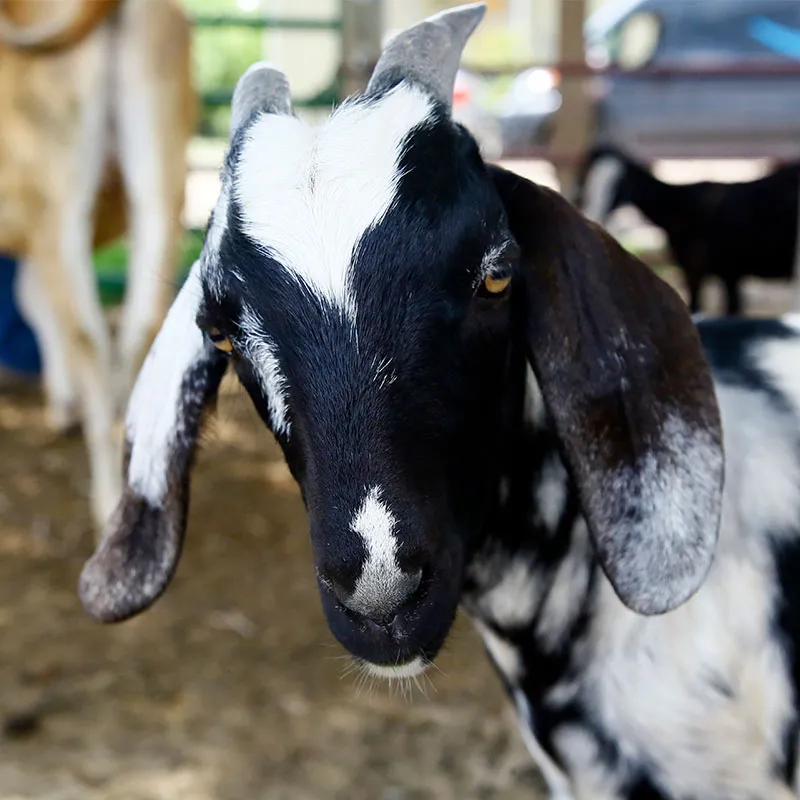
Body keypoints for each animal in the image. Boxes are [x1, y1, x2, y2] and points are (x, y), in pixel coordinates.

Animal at [575, 144, 800, 317]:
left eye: (618, 185)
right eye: (586, 179)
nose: (594, 215)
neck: (681, 206)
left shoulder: (708, 270)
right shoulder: (719, 273)